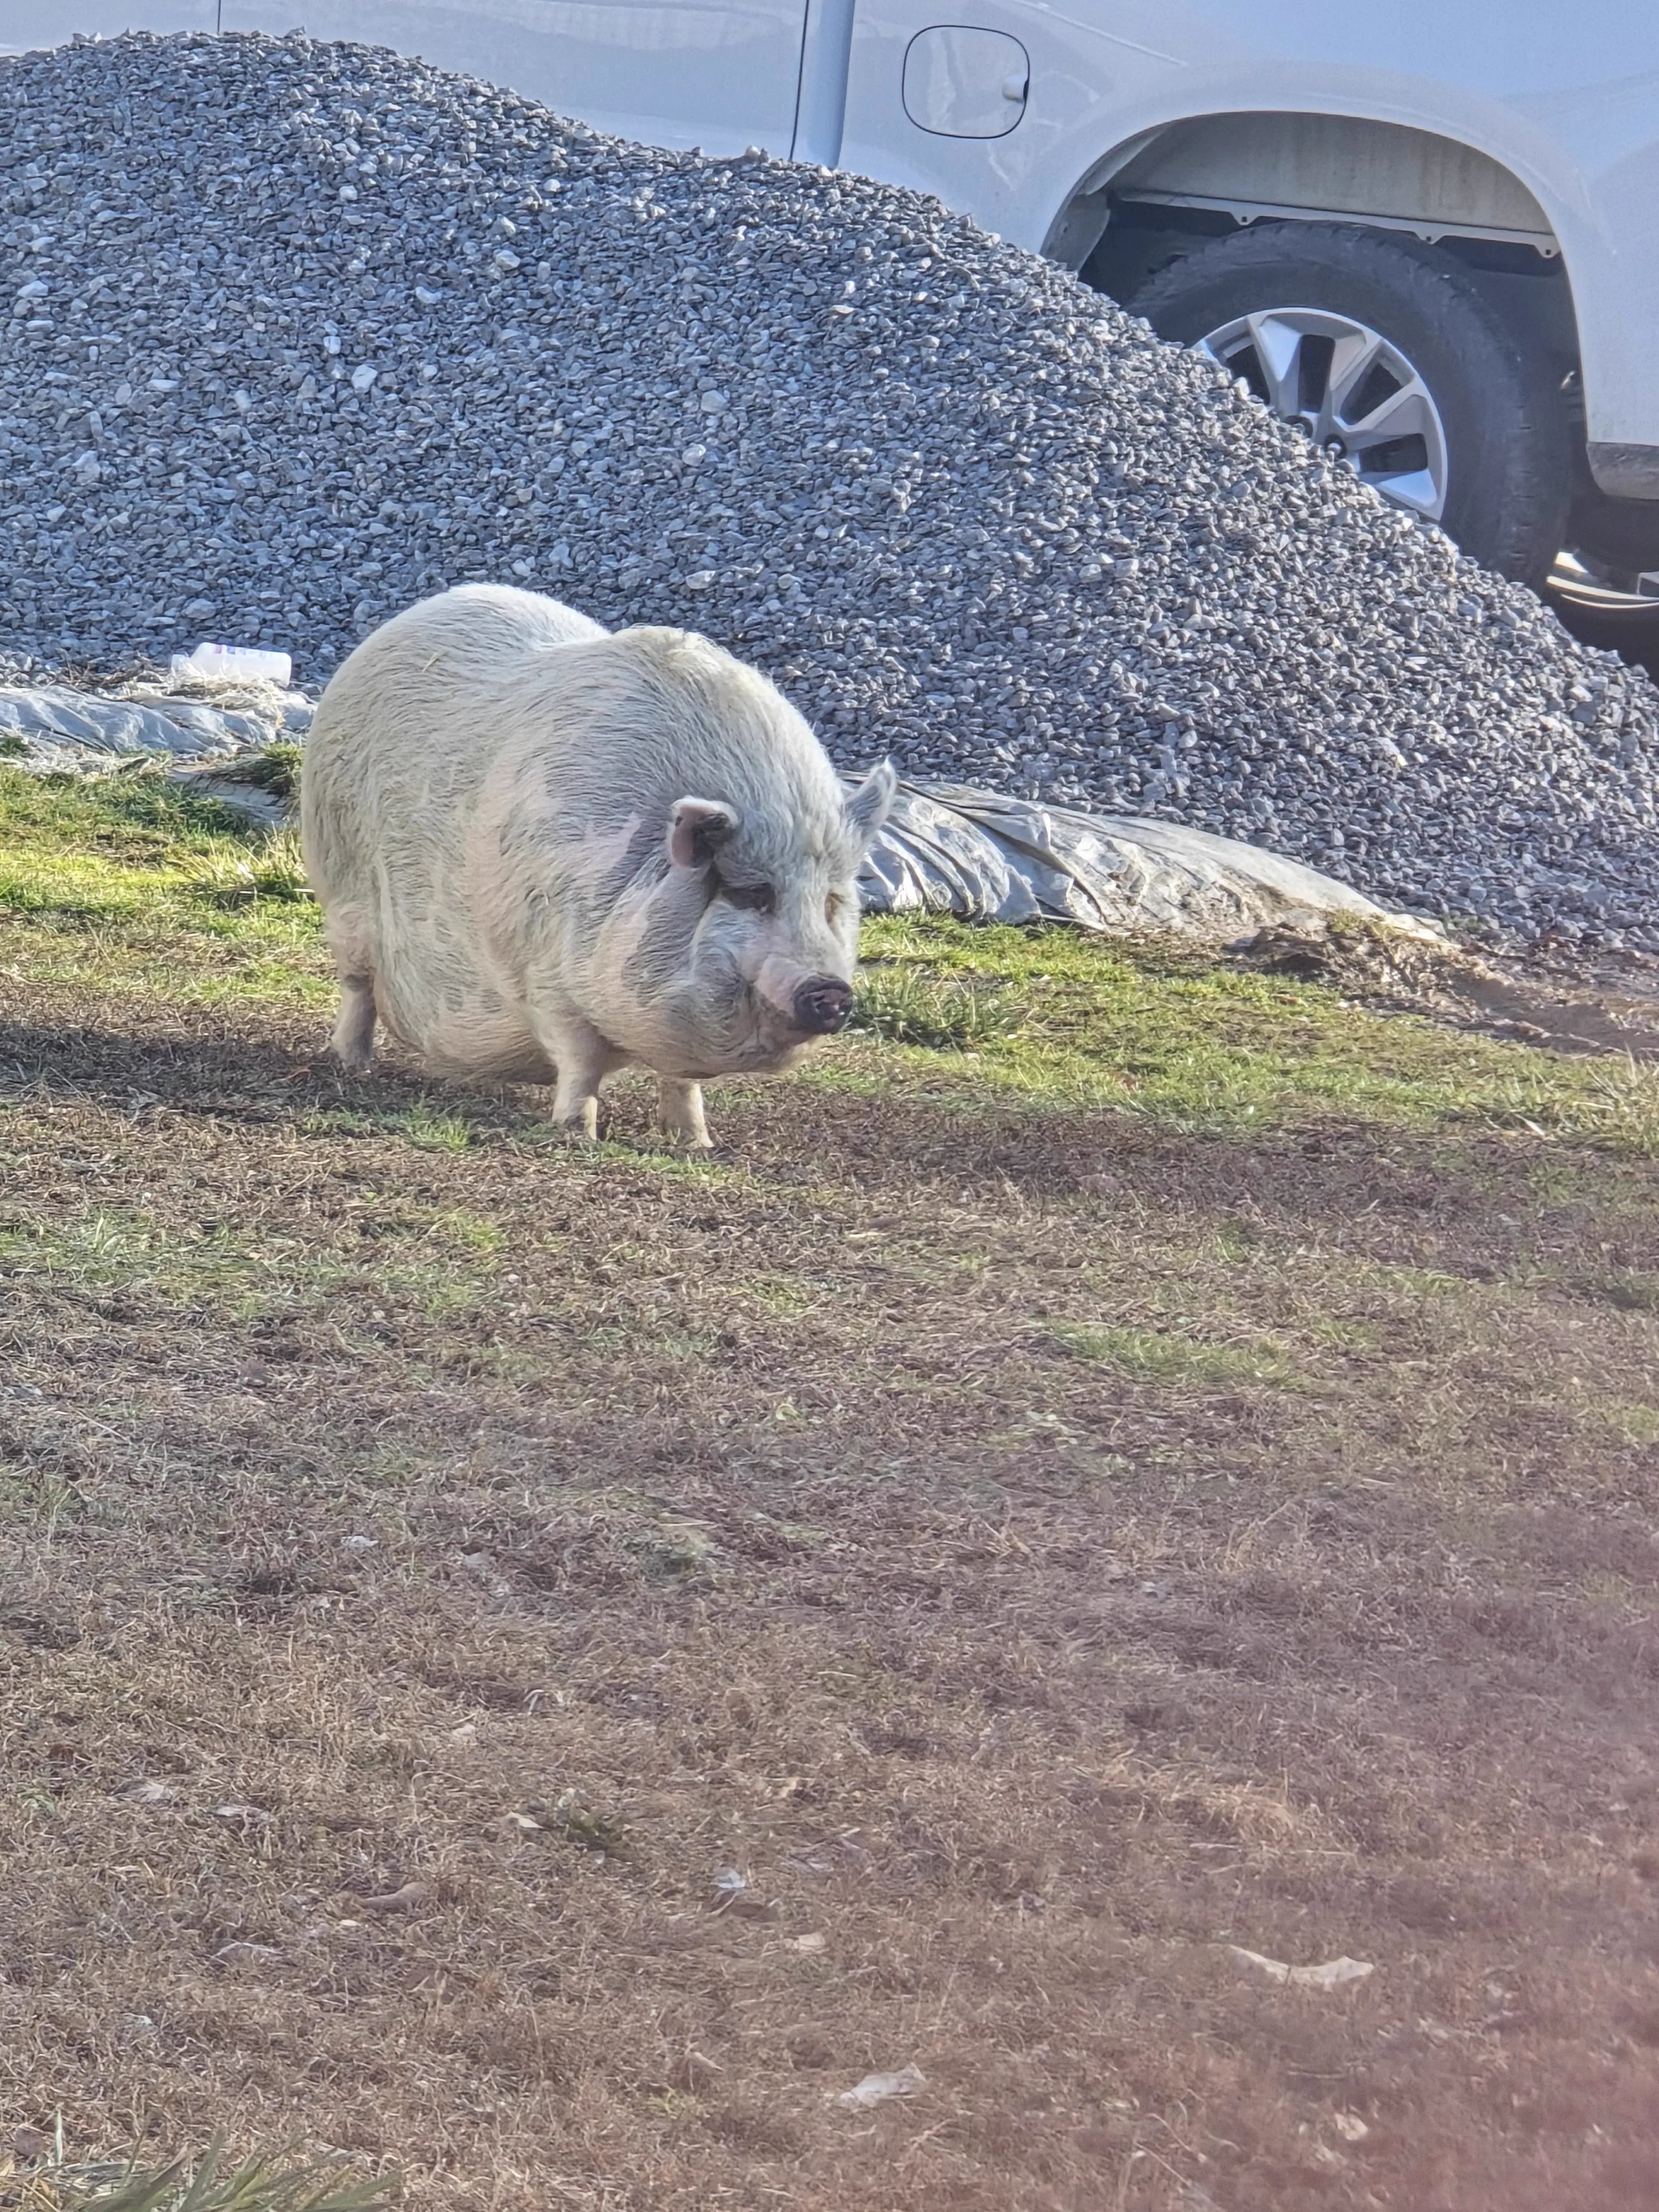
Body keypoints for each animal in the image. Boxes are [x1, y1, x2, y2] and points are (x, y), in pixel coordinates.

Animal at [299, 584, 895, 1148]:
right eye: (752, 893)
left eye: (833, 900)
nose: (831, 990)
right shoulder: (545, 976)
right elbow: (579, 1061)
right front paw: (576, 1134)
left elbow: (682, 1081)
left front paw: (697, 1143)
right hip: (341, 883)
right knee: (358, 988)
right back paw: (352, 1065)